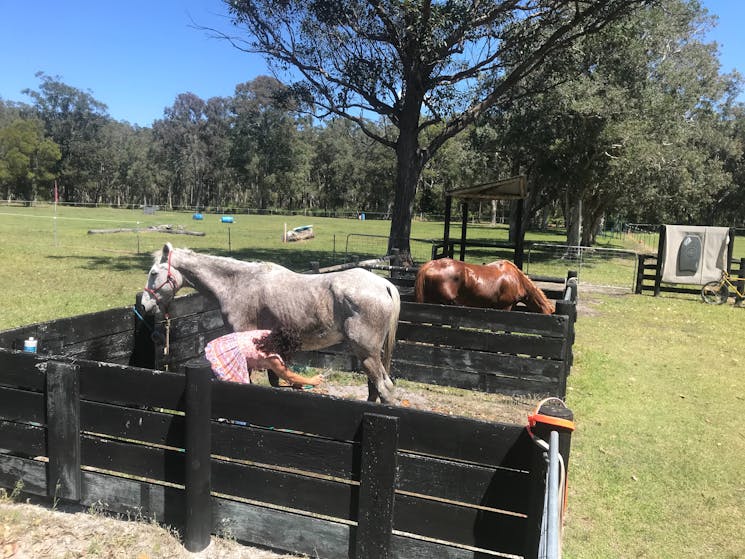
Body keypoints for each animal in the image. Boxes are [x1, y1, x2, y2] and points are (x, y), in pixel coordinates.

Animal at [140, 244, 402, 402]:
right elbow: (274, 381)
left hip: (366, 353)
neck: (238, 284)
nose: (144, 305)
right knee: (375, 388)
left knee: (384, 388)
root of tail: (383, 284)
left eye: (154, 273)